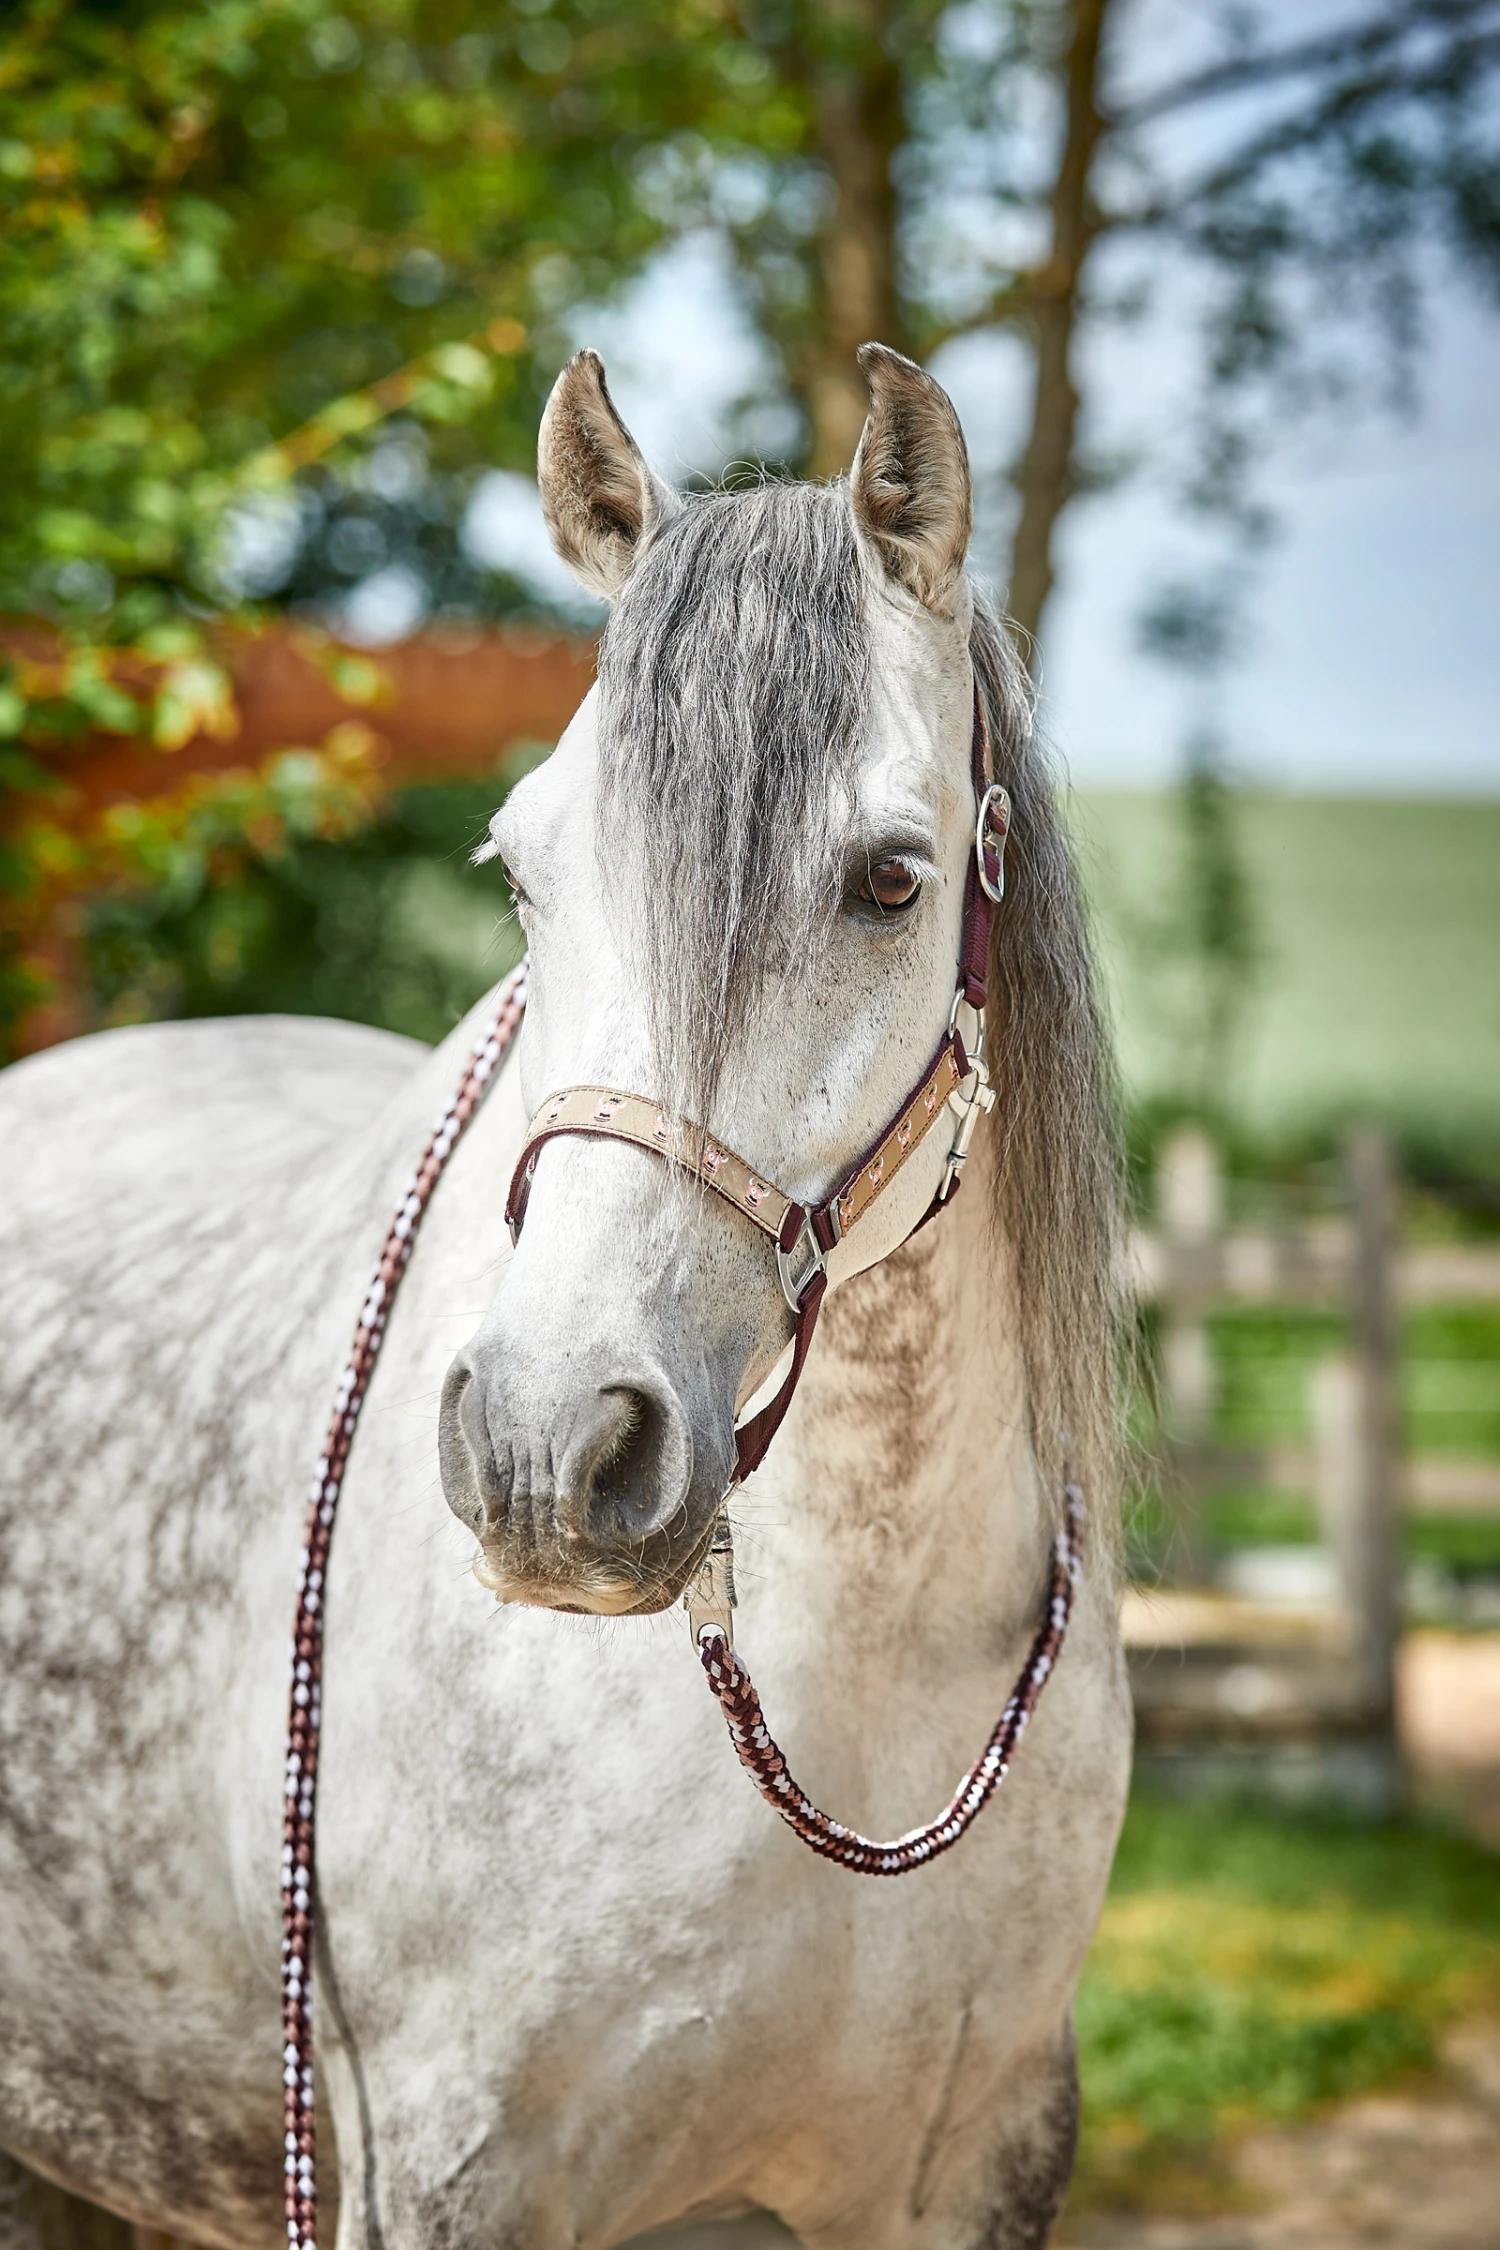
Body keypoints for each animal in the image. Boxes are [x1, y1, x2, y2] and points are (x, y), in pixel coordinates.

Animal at [0, 344, 1132, 2250]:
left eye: (892, 879)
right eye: (522, 870)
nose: (549, 1448)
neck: (861, 1664)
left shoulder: (977, 2159)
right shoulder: (448, 2168)